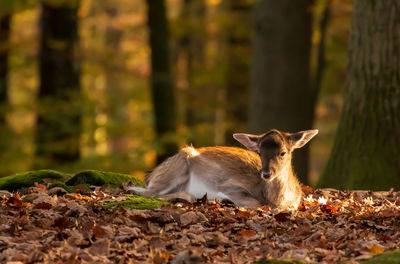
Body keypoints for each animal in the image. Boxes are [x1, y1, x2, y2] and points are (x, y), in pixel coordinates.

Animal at [131, 129, 318, 209]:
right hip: (177, 166)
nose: (266, 173)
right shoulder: (230, 185)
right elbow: (254, 203)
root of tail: (151, 175)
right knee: (146, 192)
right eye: (259, 152)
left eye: (283, 152)